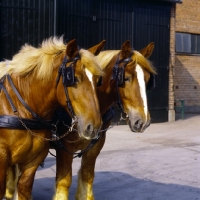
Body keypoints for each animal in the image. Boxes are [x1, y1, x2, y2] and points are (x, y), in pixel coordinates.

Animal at [0, 36, 105, 199]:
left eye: (98, 80)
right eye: (74, 78)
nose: (93, 126)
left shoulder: (34, 160)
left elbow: (24, 188)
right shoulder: (2, 157)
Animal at [53, 40, 156, 198]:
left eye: (147, 79)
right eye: (126, 78)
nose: (143, 121)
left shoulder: (95, 145)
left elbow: (87, 176)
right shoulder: (64, 147)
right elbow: (64, 181)